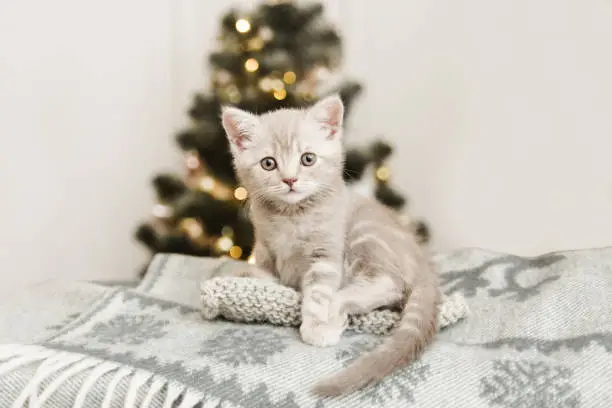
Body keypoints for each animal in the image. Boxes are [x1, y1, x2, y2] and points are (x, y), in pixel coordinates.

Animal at [220, 95, 440, 396]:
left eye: (308, 159)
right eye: (268, 164)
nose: (290, 180)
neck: (291, 216)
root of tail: (422, 261)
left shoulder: (325, 255)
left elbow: (317, 292)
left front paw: (316, 325)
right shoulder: (264, 248)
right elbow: (262, 272)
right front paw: (246, 274)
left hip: (365, 232)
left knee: (389, 285)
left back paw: (335, 310)